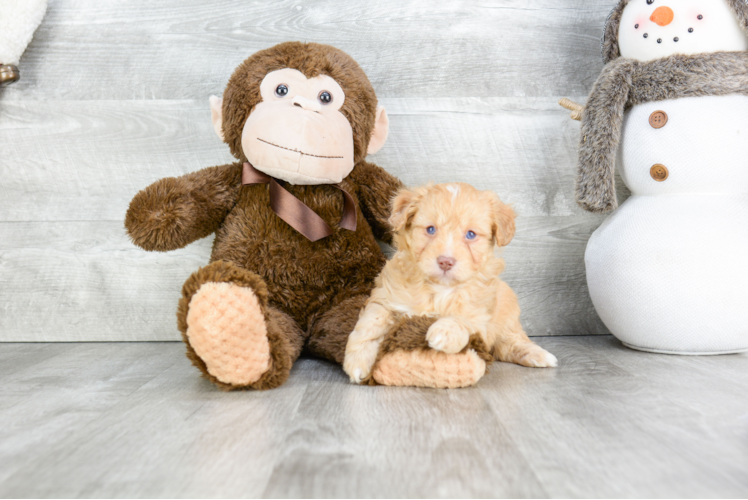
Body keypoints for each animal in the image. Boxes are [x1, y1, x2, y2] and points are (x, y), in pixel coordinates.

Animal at [344, 183, 556, 382]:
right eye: (430, 229)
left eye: (470, 234)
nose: (445, 261)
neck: (439, 288)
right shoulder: (385, 296)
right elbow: (371, 322)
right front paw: (358, 361)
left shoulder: (481, 314)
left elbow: (464, 319)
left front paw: (443, 332)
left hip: (508, 314)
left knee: (511, 342)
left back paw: (538, 355)